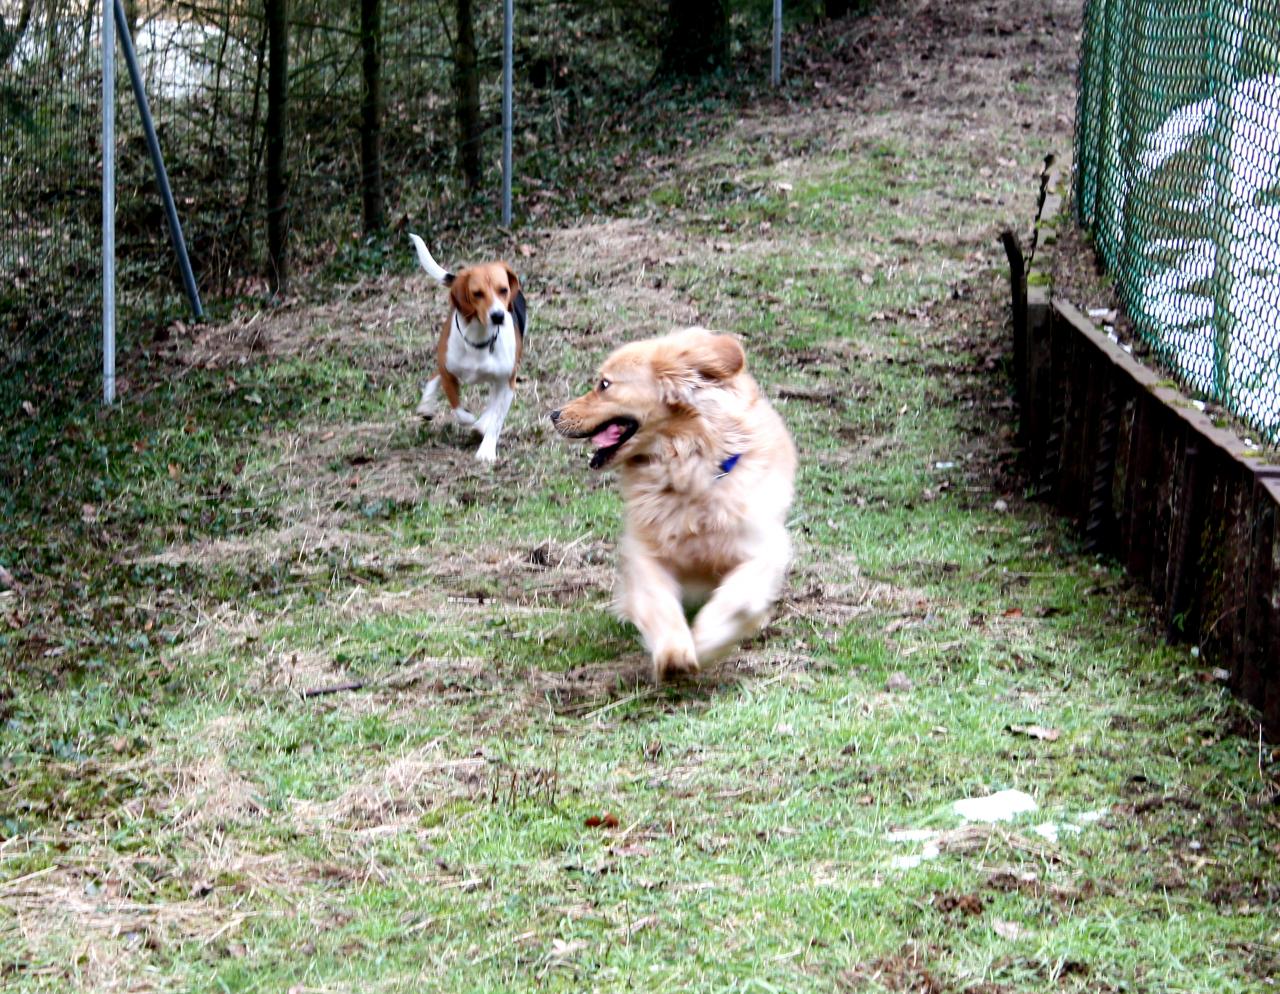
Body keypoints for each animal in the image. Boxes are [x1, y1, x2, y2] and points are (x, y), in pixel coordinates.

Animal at [412, 234, 527, 463]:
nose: (498, 316)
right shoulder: (449, 373)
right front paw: (470, 419)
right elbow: (459, 410)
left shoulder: (507, 381)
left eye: (503, 290)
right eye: (477, 294)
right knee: (435, 375)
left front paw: (486, 450)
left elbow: (495, 419)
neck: (480, 340)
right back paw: (427, 405)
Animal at [552, 326, 793, 680]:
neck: (686, 468)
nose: (553, 415)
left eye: (604, 384)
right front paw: (674, 654)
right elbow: (658, 603)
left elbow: (739, 600)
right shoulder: (646, 551)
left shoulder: (760, 548)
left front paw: (706, 641)